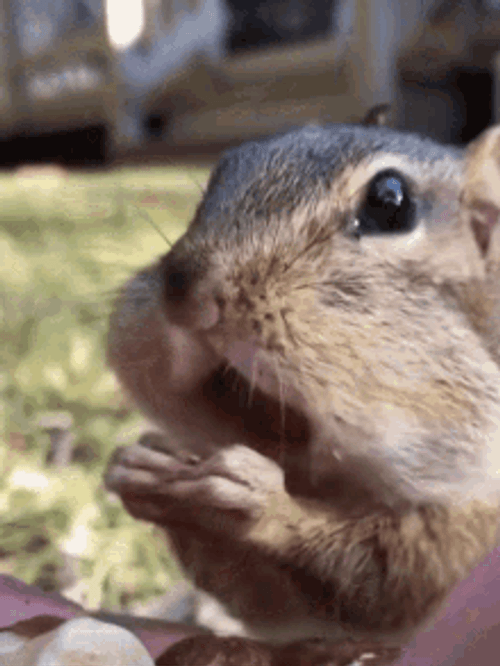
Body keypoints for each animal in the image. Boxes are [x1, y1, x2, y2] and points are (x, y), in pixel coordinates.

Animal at [104, 112, 500, 655]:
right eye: (225, 166)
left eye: (390, 202)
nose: (189, 292)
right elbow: (265, 599)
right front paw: (141, 466)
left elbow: (395, 582)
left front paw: (263, 502)